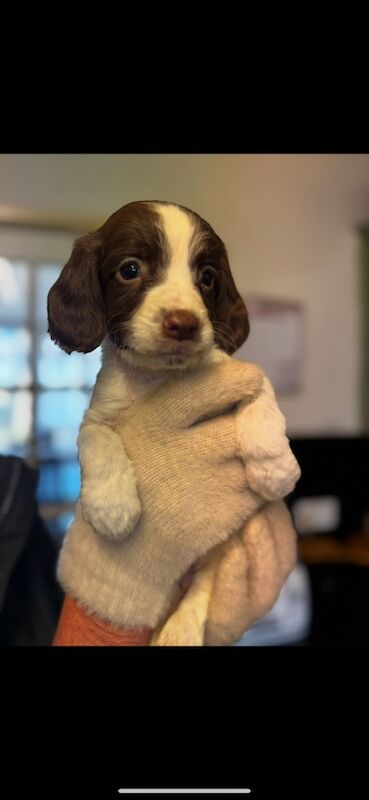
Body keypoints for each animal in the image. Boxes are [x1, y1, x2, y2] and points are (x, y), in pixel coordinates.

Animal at [46, 200, 300, 644]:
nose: (183, 323)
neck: (159, 376)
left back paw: (180, 629)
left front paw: (273, 465)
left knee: (205, 580)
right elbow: (96, 440)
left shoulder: (231, 373)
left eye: (208, 277)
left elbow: (261, 394)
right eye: (130, 269)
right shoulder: (100, 413)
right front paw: (112, 506)